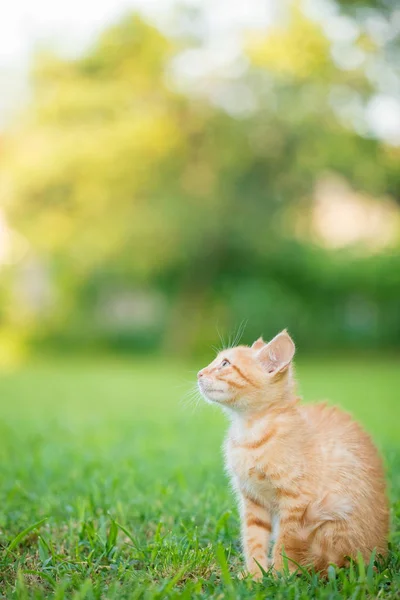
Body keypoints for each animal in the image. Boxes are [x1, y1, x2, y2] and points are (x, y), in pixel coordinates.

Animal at [198, 330, 390, 580]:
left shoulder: (296, 501)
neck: (250, 431)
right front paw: (255, 575)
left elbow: (286, 543)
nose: (199, 373)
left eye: (225, 364)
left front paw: (280, 576)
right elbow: (254, 538)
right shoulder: (252, 498)